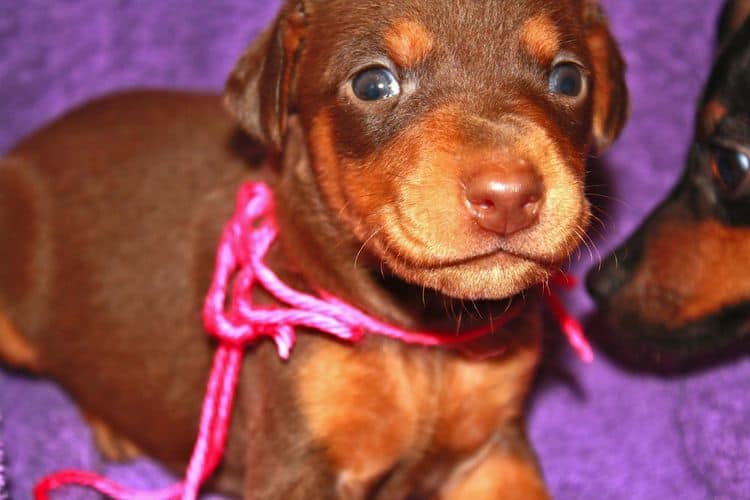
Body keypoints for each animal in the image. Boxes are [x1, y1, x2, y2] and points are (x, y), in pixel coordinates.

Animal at [0, 1, 628, 498]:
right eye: (373, 83)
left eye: (568, 79)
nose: (508, 196)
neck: (424, 336)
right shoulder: (298, 455)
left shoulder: (494, 449)